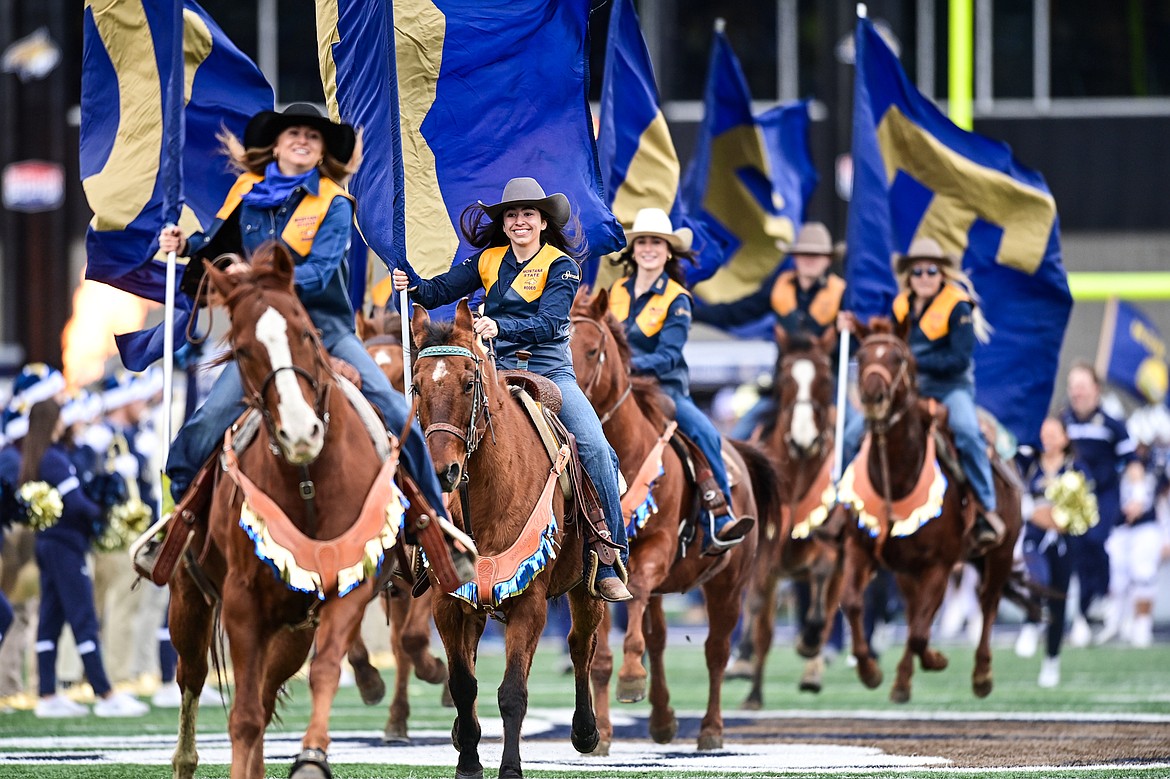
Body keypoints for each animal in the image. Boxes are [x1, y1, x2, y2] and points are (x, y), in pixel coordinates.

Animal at [167, 246, 407, 776]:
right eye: (241, 349)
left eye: (306, 332)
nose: (300, 432)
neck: (308, 484)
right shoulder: (241, 601)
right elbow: (243, 716)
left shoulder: (347, 588)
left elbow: (325, 669)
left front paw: (313, 757)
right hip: (189, 599)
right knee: (193, 676)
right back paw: (186, 758)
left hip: (291, 630)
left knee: (267, 687)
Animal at [411, 298, 608, 776]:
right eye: (417, 386)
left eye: (469, 384)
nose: (443, 471)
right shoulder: (448, 600)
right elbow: (463, 683)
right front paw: (468, 760)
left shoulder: (529, 601)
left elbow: (513, 691)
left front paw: (511, 767)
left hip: (587, 585)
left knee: (581, 645)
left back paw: (585, 731)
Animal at [568, 286, 772, 753]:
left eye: (593, 349)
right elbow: (601, 653)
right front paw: (603, 734)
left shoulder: (655, 551)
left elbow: (636, 601)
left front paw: (630, 677)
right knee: (659, 641)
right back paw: (662, 719)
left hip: (727, 585)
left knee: (716, 651)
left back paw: (711, 729)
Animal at [734, 327, 847, 701]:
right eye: (785, 379)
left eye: (826, 378)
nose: (803, 440)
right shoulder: (763, 558)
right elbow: (755, 604)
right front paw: (744, 660)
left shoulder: (829, 544)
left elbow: (822, 577)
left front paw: (809, 640)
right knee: (765, 628)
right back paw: (750, 686)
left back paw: (812, 665)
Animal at [837, 320, 1020, 697]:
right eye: (862, 354)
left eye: (898, 358)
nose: (873, 397)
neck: (896, 477)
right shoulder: (860, 547)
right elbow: (853, 602)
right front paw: (869, 670)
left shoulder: (940, 564)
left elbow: (921, 632)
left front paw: (936, 660)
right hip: (907, 571)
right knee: (914, 613)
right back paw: (903, 680)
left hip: (1000, 553)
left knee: (988, 603)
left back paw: (981, 675)